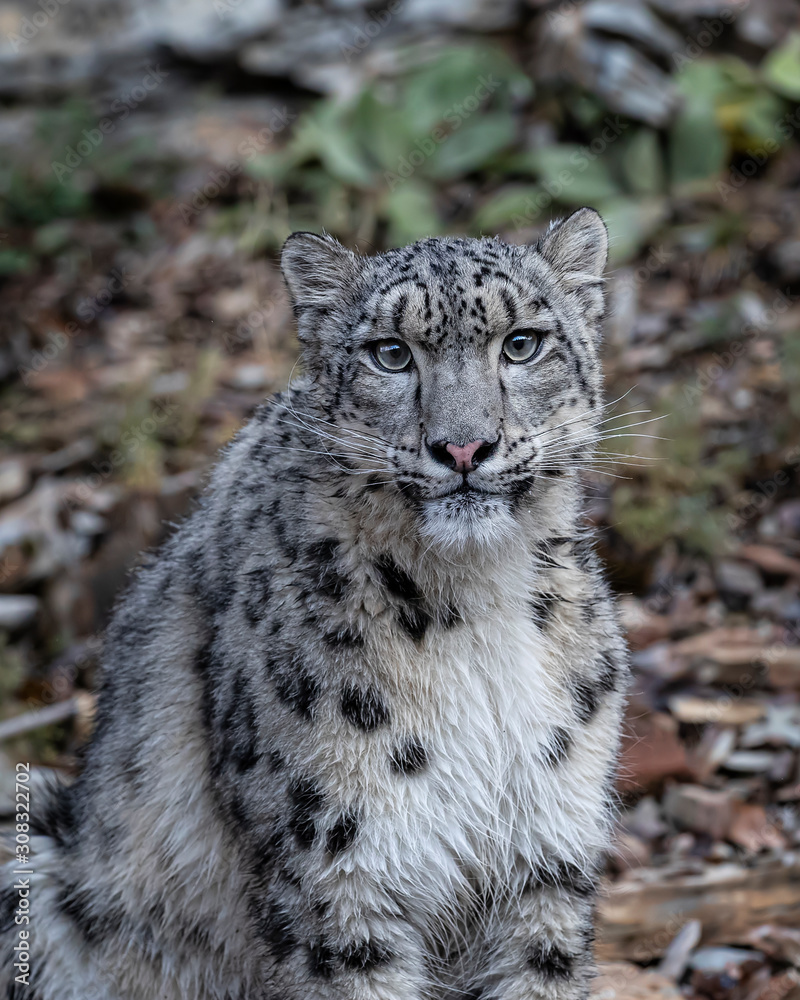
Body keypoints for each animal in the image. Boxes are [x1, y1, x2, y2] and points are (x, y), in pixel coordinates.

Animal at [0, 207, 629, 1000]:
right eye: (391, 354)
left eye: (522, 344)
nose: (463, 448)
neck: (479, 605)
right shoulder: (338, 867)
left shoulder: (547, 851)